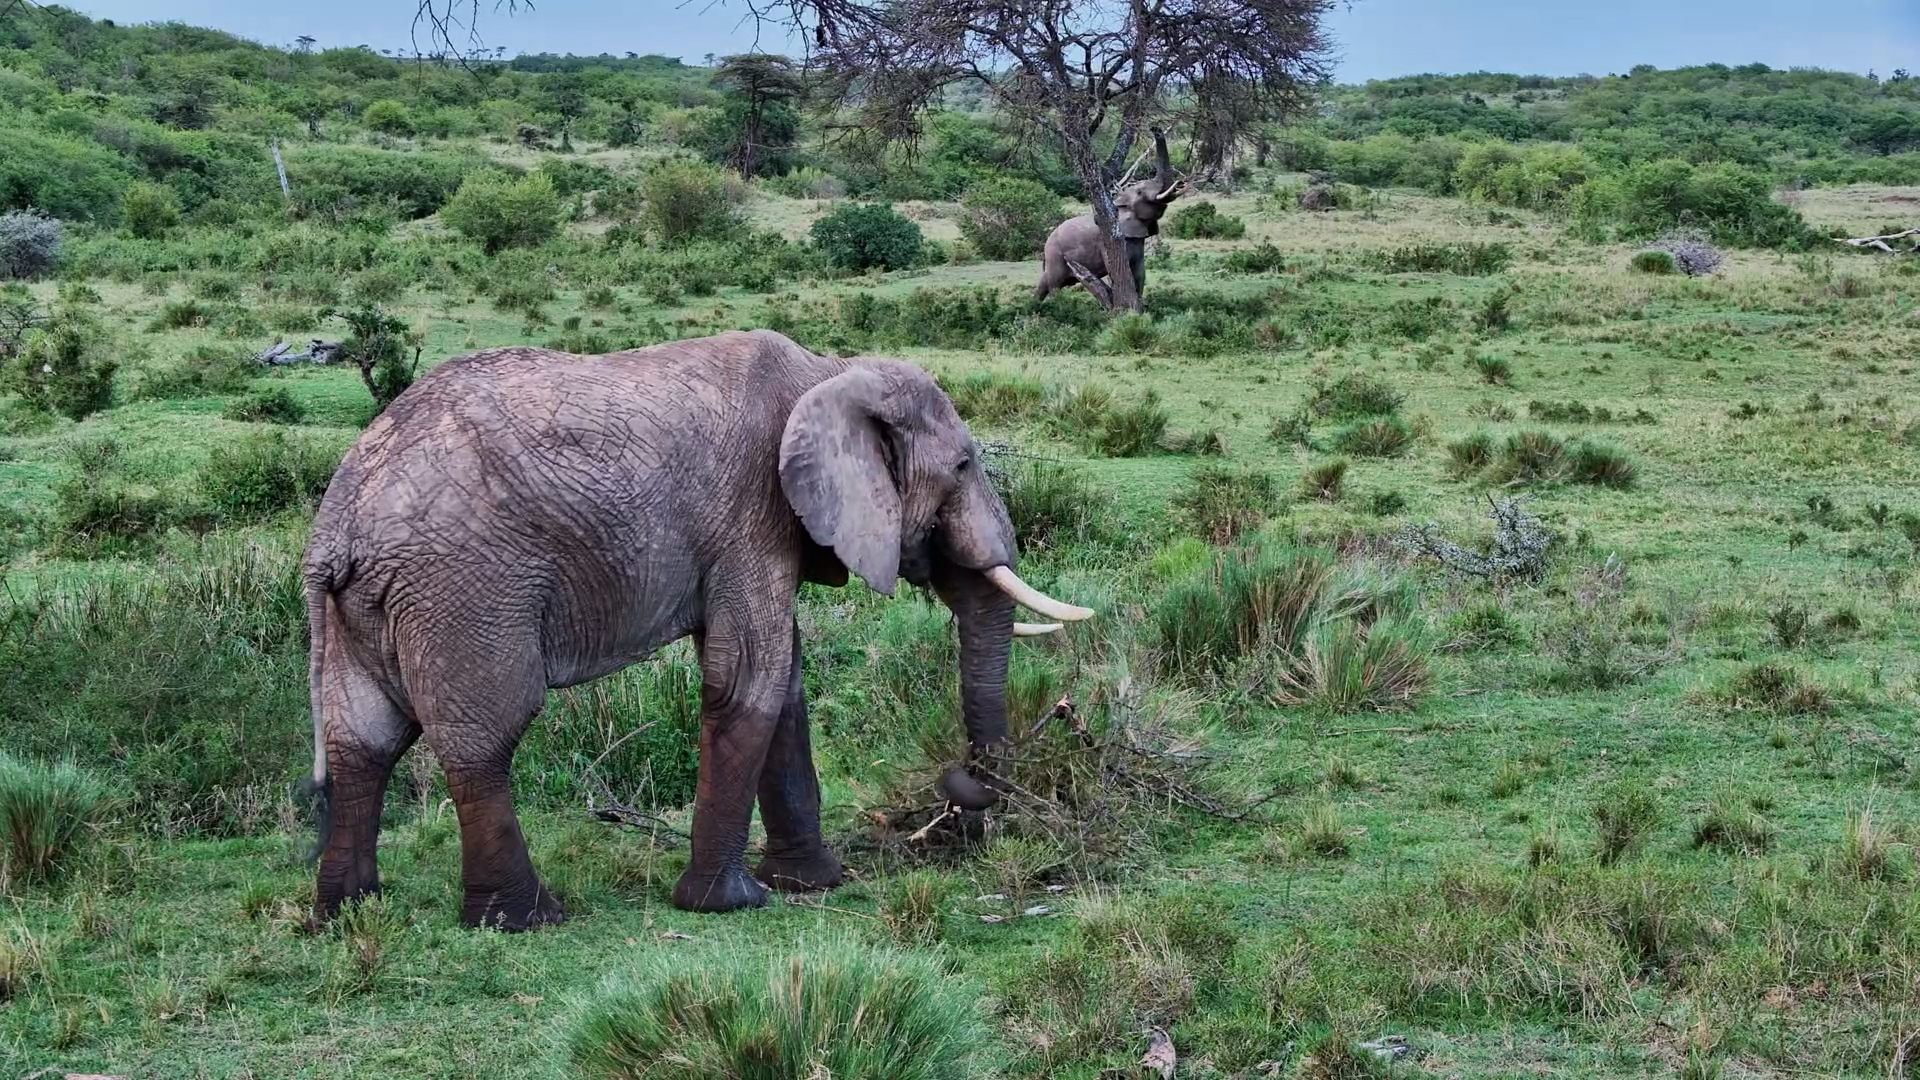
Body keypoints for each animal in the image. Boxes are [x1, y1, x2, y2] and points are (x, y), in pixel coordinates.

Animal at [299, 329, 1093, 930]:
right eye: (962, 464)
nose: (964, 791)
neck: (830, 372)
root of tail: (336, 527)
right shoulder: (752, 514)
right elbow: (750, 679)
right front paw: (730, 904)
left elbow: (783, 683)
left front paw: (815, 883)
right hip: (465, 588)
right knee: (484, 736)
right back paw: (525, 919)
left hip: (366, 607)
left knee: (362, 739)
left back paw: (349, 910)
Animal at [1035, 129, 1182, 304]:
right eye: (1140, 192)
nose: (1154, 128)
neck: (1119, 203)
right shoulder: (1106, 241)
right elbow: (1118, 270)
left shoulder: (1137, 240)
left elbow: (1140, 271)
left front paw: (1140, 304)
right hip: (1055, 254)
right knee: (1054, 284)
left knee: (1045, 282)